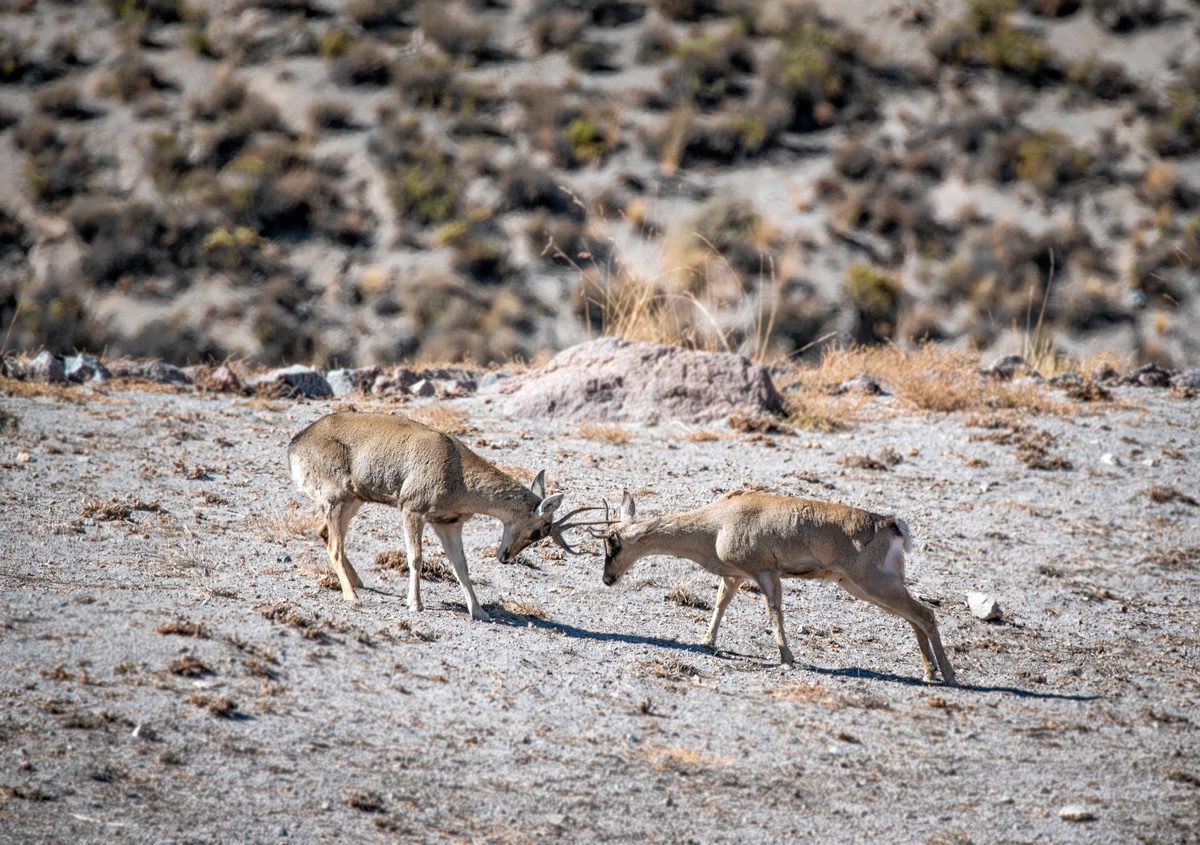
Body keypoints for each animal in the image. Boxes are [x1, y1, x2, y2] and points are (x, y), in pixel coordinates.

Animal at [285, 415, 595, 619]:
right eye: (537, 531)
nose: (505, 557)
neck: (457, 471)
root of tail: (296, 444)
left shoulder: (448, 524)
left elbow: (461, 567)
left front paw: (479, 611)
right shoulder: (412, 510)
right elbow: (416, 558)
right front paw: (415, 604)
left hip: (353, 501)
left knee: (324, 533)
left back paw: (358, 582)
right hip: (339, 498)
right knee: (334, 546)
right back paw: (353, 596)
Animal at [597, 492, 955, 681]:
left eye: (613, 543)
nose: (607, 579)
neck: (716, 523)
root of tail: (892, 524)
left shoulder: (766, 573)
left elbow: (774, 614)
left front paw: (786, 658)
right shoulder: (735, 576)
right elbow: (720, 604)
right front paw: (707, 641)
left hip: (874, 584)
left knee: (925, 614)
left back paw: (948, 676)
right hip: (867, 586)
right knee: (915, 617)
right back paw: (930, 672)